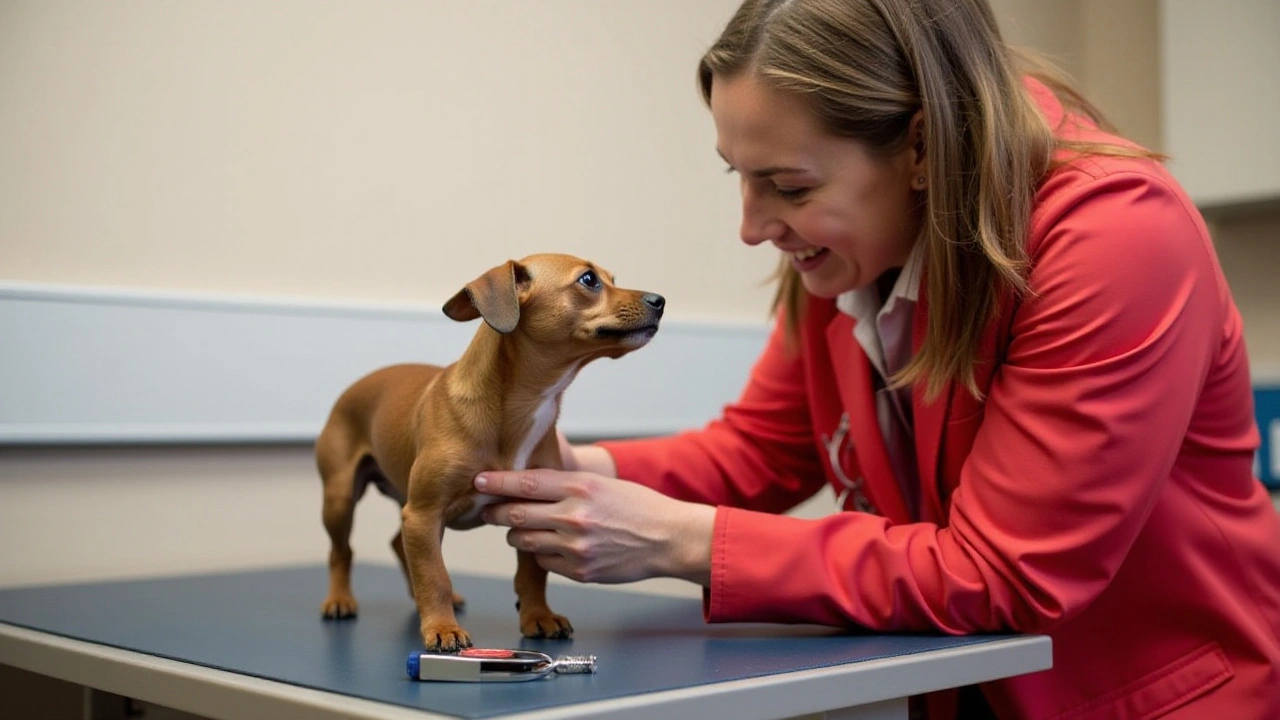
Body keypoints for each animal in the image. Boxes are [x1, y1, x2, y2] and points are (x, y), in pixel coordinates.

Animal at [314, 253, 665, 650]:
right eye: (589, 280)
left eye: (612, 279)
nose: (660, 300)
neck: (521, 408)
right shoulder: (424, 514)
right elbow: (434, 576)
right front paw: (442, 627)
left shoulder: (530, 512)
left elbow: (531, 574)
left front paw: (538, 616)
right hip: (341, 500)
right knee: (342, 552)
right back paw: (340, 599)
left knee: (398, 545)